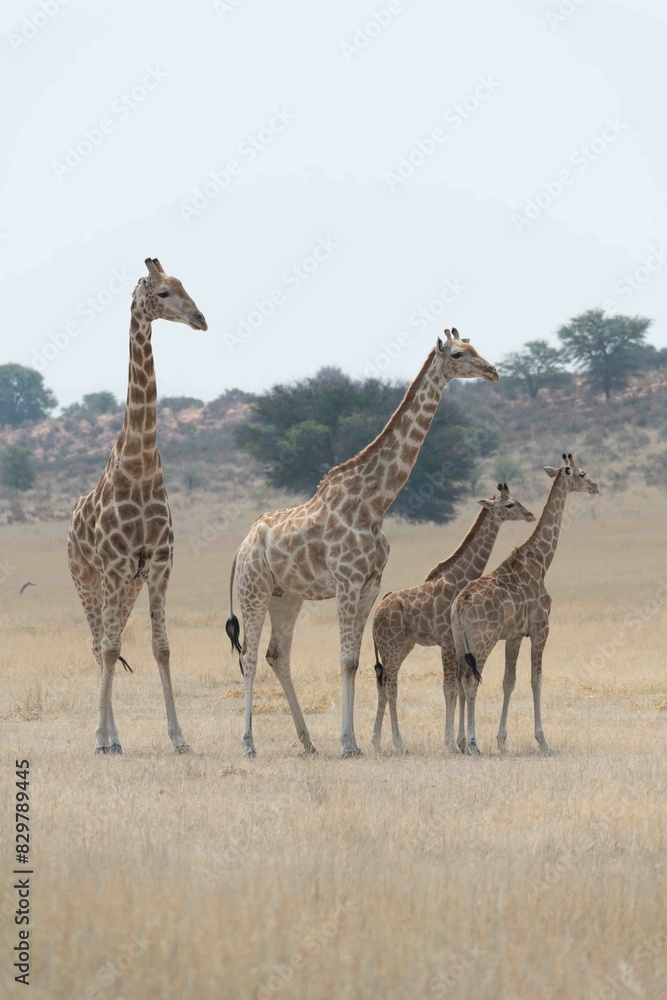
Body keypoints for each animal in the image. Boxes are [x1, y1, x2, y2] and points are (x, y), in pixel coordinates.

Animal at [67, 258, 207, 754]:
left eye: (185, 285)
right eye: (163, 292)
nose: (200, 319)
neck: (141, 465)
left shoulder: (158, 563)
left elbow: (161, 646)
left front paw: (180, 737)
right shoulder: (114, 566)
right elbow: (109, 648)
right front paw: (100, 738)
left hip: (126, 585)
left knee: (110, 640)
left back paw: (115, 734)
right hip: (88, 577)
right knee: (98, 644)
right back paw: (107, 736)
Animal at [226, 329, 499, 758]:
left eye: (475, 348)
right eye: (458, 354)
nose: (492, 371)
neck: (375, 503)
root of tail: (242, 547)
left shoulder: (370, 584)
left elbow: (355, 661)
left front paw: (353, 740)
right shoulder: (347, 582)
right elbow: (344, 661)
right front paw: (349, 742)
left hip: (286, 596)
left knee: (277, 655)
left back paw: (308, 742)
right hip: (253, 589)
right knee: (251, 656)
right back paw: (249, 744)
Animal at [371, 483, 535, 753]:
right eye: (510, 504)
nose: (530, 515)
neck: (461, 576)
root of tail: (378, 608)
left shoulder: (458, 646)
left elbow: (458, 688)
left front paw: (461, 742)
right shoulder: (447, 643)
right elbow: (449, 689)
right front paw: (450, 742)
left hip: (402, 646)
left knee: (383, 684)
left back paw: (376, 741)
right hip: (391, 645)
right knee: (392, 686)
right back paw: (399, 743)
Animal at [451, 453, 599, 756]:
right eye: (581, 473)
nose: (595, 486)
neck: (540, 561)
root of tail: (459, 606)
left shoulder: (515, 635)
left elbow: (509, 681)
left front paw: (502, 740)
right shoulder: (541, 627)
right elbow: (536, 679)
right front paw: (542, 740)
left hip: (460, 644)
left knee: (460, 681)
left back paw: (461, 742)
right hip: (482, 642)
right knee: (471, 682)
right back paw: (473, 743)